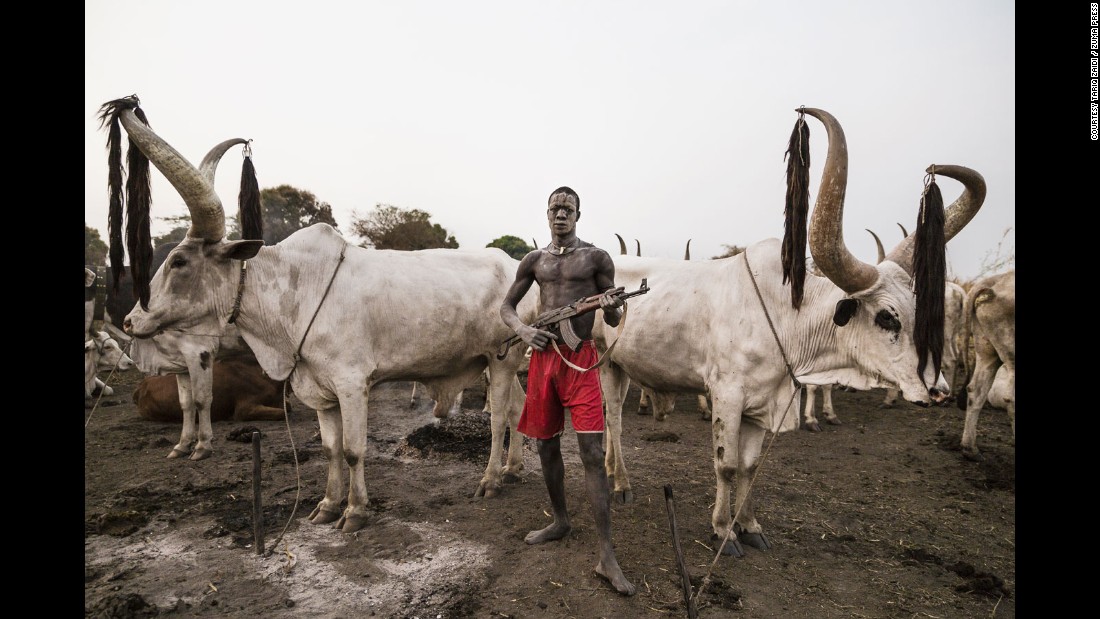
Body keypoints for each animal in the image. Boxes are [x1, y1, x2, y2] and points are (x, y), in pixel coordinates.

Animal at [598, 107, 985, 556]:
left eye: (920, 310)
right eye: (887, 317)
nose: (938, 390)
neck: (786, 317)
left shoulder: (763, 403)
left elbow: (749, 467)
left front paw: (749, 525)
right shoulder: (727, 396)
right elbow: (726, 465)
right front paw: (722, 531)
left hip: (624, 366)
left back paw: (612, 472)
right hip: (603, 364)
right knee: (614, 420)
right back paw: (621, 484)